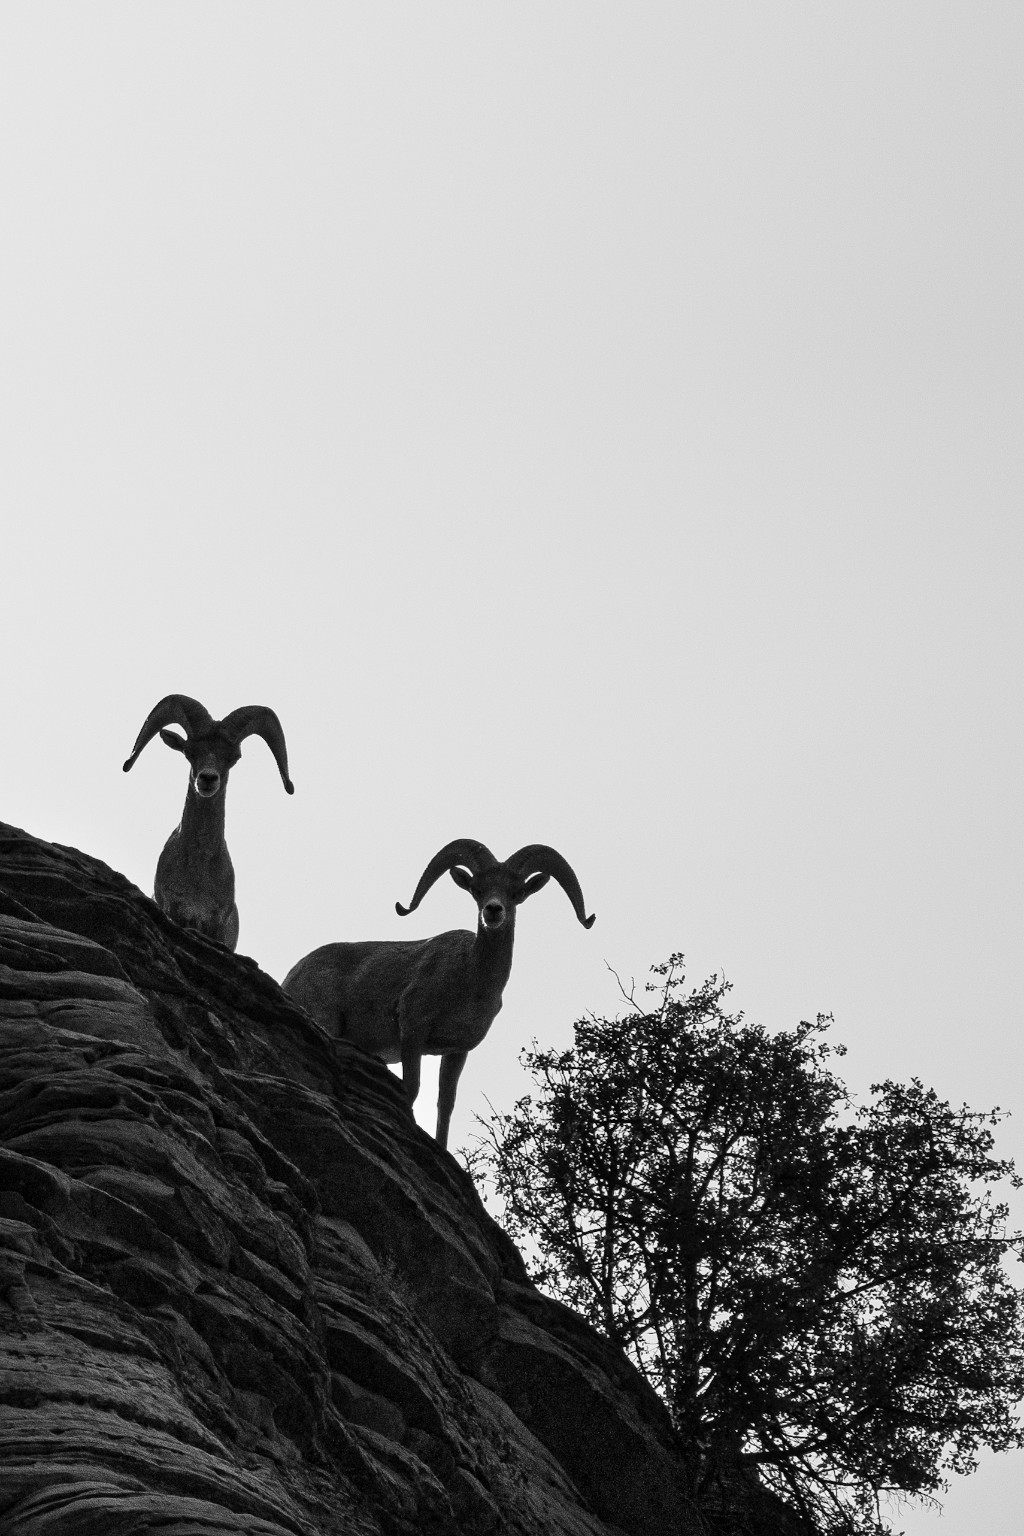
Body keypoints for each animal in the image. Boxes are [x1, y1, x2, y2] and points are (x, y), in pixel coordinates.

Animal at [282, 839, 594, 1148]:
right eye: (476, 889)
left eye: (516, 892)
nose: (493, 911)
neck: (470, 983)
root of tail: (293, 975)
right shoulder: (412, 1030)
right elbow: (412, 1088)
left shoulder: (457, 1051)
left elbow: (445, 1104)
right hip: (326, 1020)